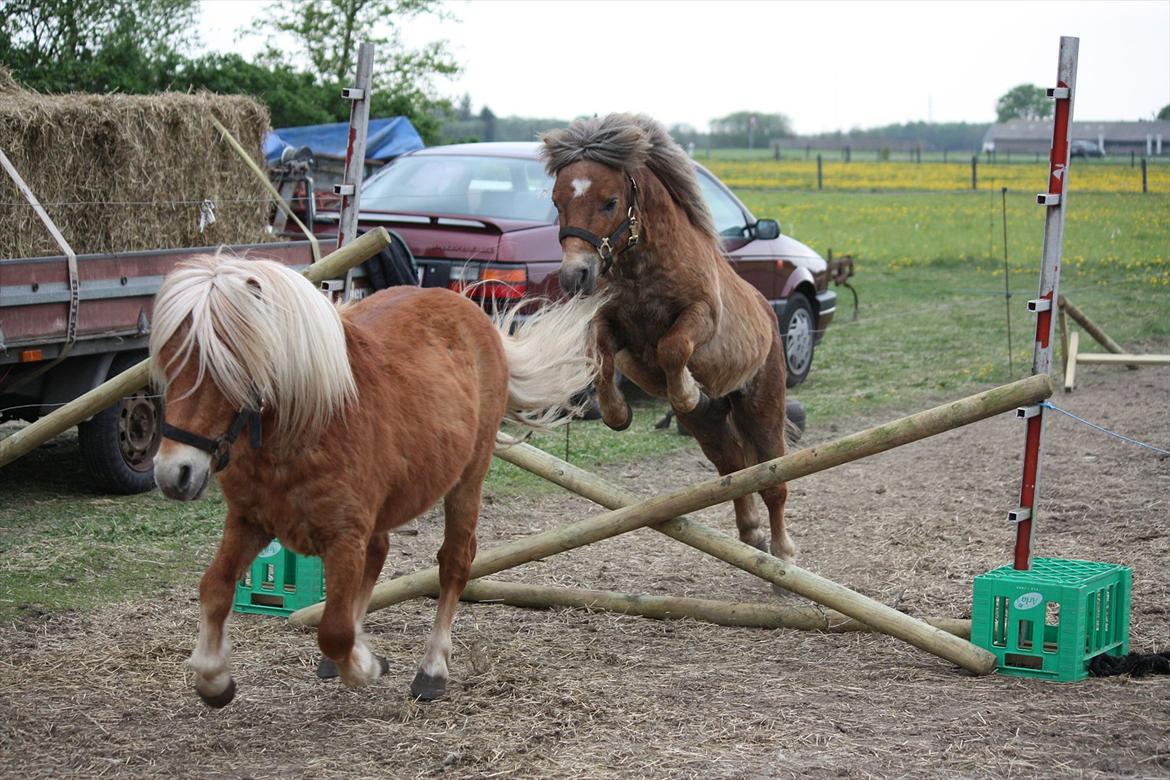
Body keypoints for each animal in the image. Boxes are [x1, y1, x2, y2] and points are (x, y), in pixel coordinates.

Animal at [149, 253, 599, 706]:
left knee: (454, 562)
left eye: (227, 363)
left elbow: (334, 631)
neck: (308, 422)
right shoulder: (248, 522)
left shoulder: (344, 536)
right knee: (380, 552)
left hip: (468, 479)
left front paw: (365, 666)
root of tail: (472, 313)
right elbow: (215, 589)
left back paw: (432, 669)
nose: (174, 473)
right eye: (168, 358)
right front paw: (214, 680)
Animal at [542, 115, 800, 563]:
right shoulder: (608, 322)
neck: (643, 267)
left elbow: (672, 347)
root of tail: (769, 315)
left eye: (610, 202)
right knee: (733, 465)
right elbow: (601, 358)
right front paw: (617, 413)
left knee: (771, 480)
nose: (575, 276)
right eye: (558, 202)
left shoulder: (701, 316)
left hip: (762, 405)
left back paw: (782, 554)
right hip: (708, 424)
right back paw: (751, 534)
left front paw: (687, 390)